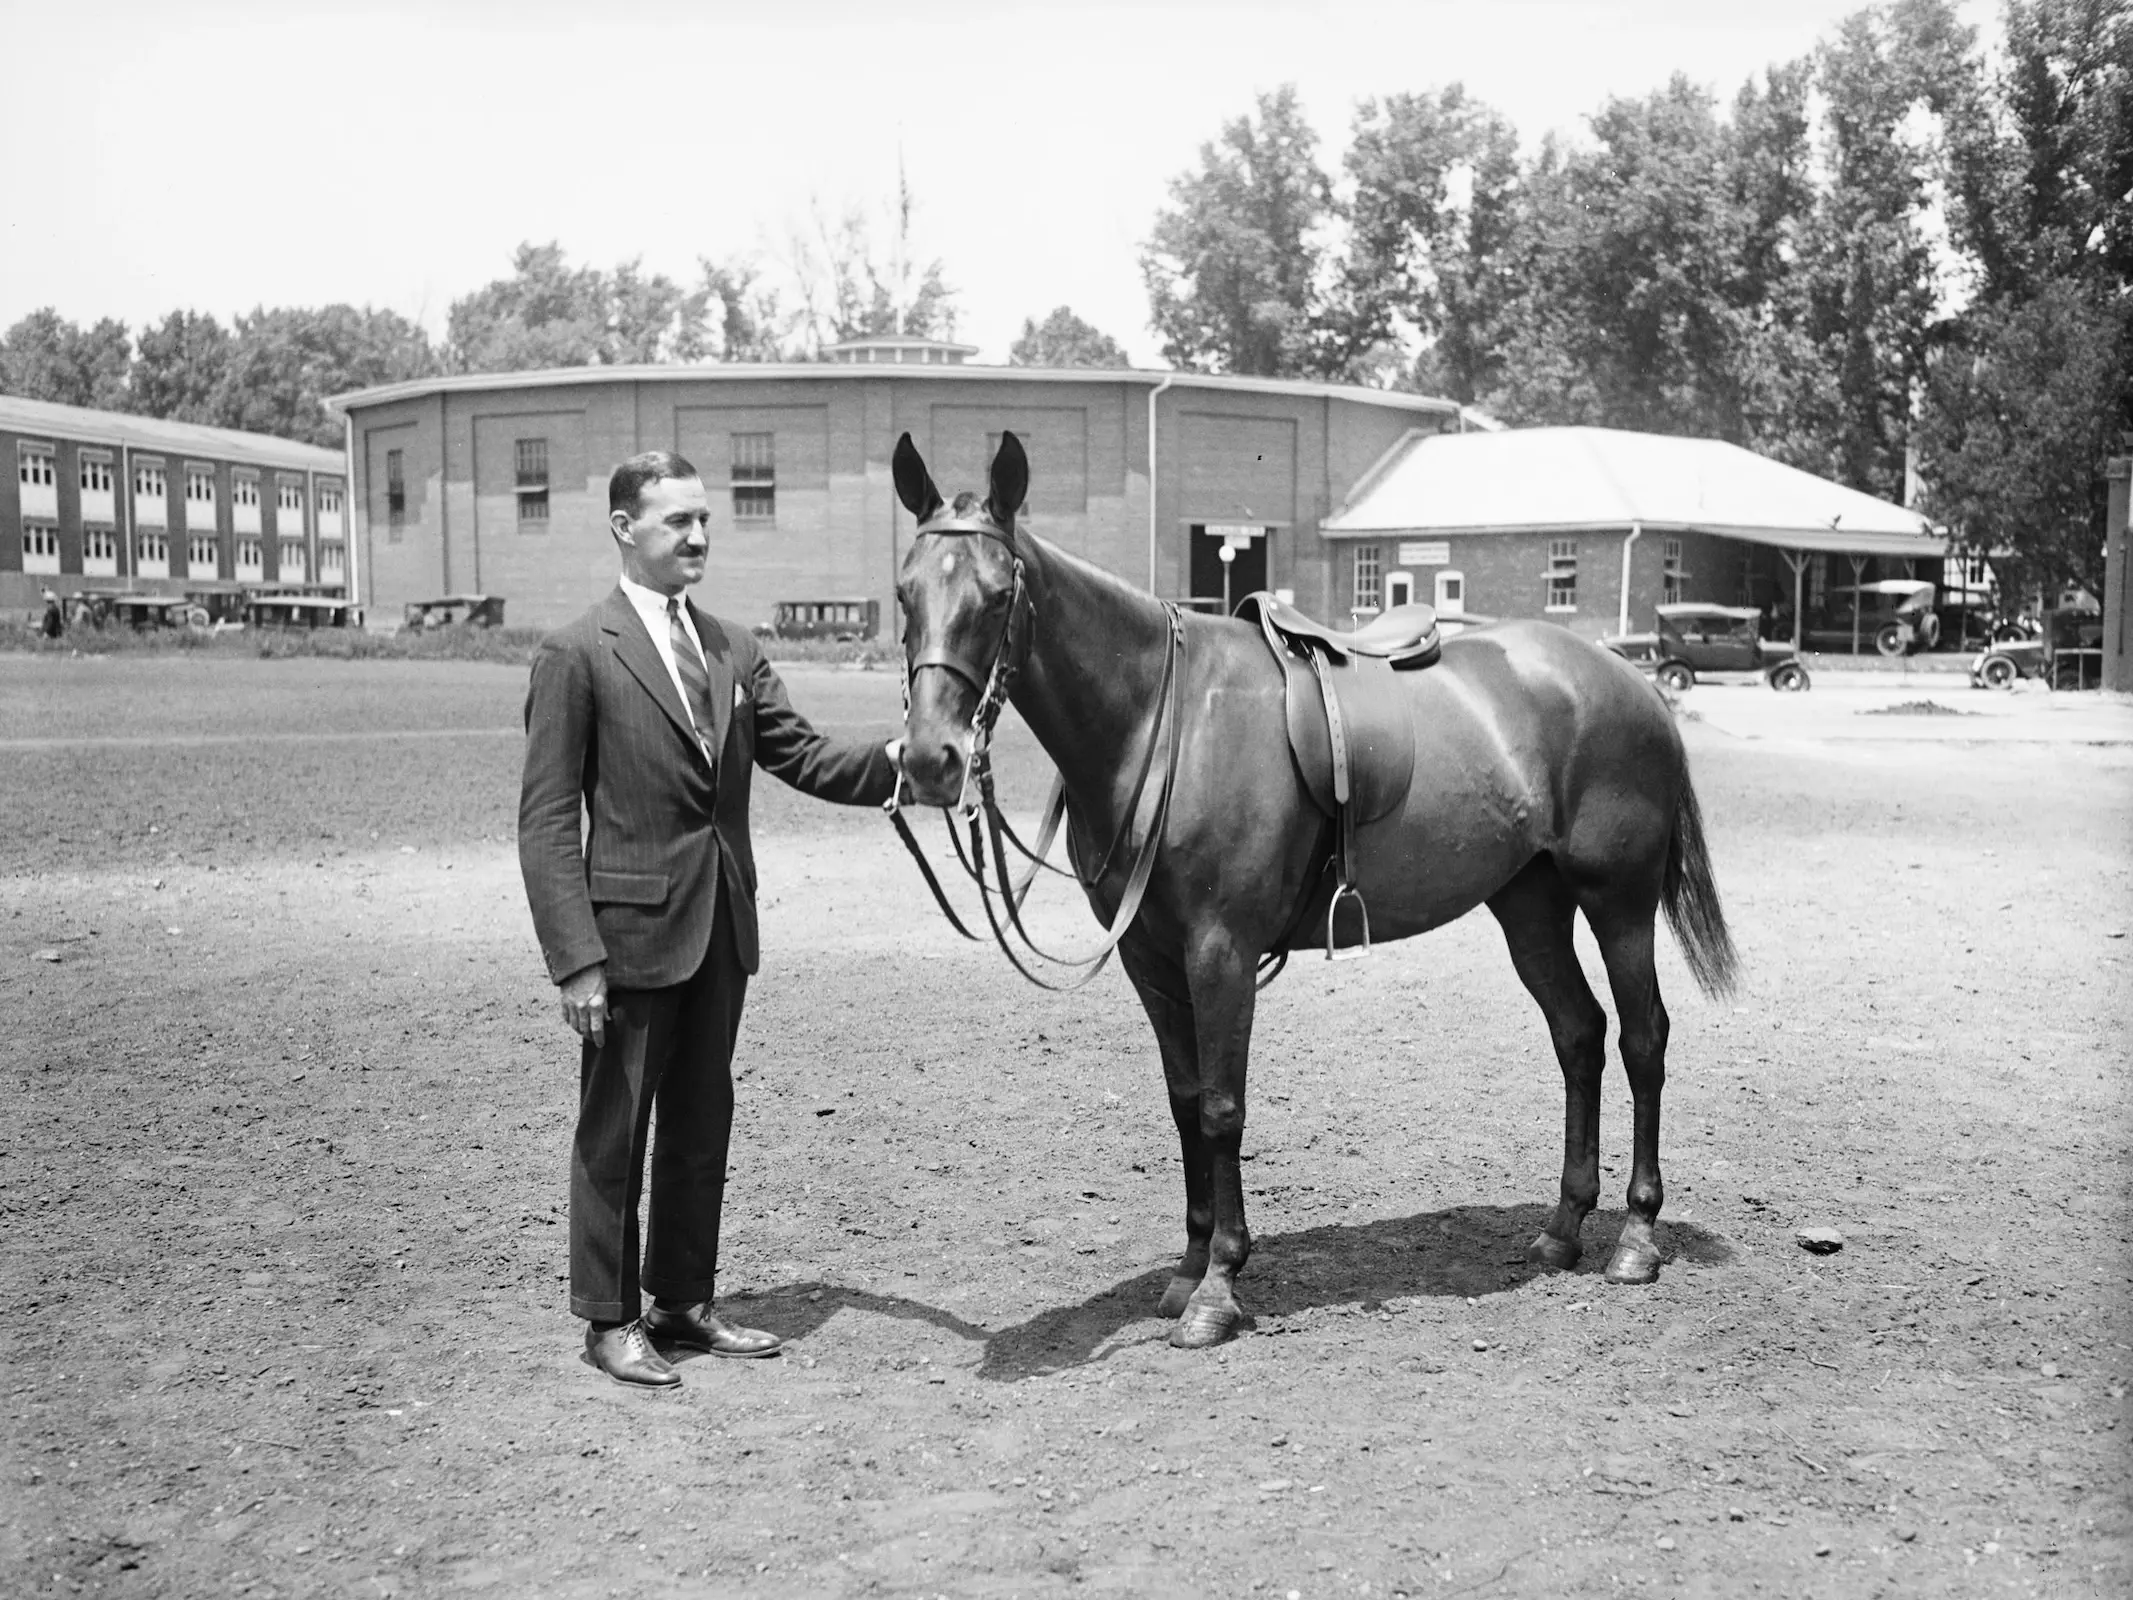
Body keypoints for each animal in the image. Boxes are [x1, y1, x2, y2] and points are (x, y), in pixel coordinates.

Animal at [890, 430, 1738, 1349]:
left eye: (996, 595)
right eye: (904, 591)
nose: (929, 759)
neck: (1164, 722)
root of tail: (1630, 681)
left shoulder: (1219, 950)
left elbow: (1222, 1108)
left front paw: (1218, 1288)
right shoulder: (1150, 958)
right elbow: (1184, 1102)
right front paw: (1187, 1269)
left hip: (1617, 900)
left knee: (1642, 1040)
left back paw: (1635, 1237)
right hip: (1529, 904)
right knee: (1578, 1036)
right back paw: (1561, 1229)